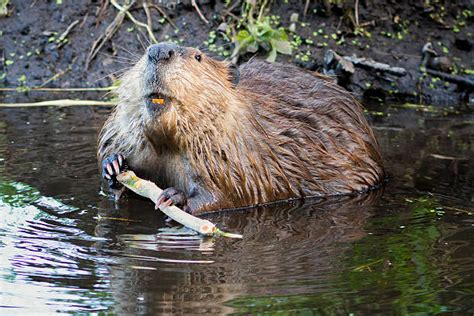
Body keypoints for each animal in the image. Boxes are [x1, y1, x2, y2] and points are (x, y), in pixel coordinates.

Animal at [97, 42, 386, 215]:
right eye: (145, 51)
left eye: (198, 56)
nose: (159, 51)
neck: (167, 142)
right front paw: (114, 165)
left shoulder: (234, 160)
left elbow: (227, 196)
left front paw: (174, 197)